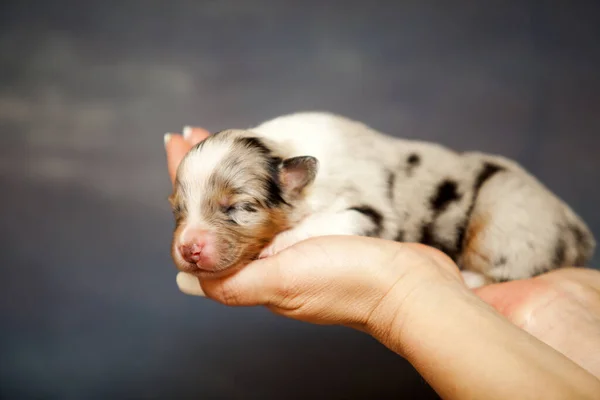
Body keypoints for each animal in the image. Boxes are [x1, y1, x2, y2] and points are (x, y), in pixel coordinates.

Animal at [170, 112, 596, 288]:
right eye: (177, 209)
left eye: (239, 208)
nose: (189, 249)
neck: (287, 147)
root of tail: (579, 232)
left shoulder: (368, 212)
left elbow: (325, 221)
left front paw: (277, 243)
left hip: (503, 219)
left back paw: (469, 278)